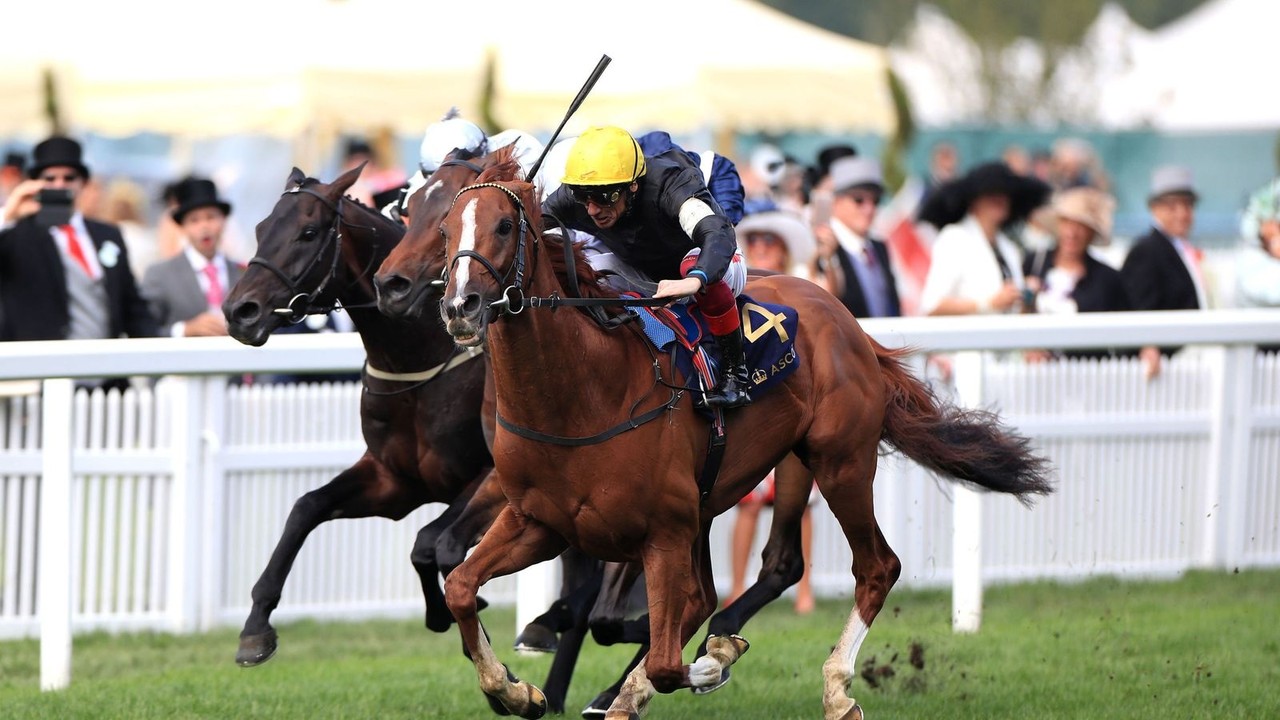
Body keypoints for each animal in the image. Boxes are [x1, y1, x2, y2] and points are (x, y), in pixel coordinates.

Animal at [218, 162, 488, 661]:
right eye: (261, 229)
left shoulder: (489, 474)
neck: (421, 357)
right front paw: (256, 626)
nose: (239, 311)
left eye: (308, 232)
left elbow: (429, 544)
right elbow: (305, 507)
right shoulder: (394, 480)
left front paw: (454, 609)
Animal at [430, 162, 1049, 717]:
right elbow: (460, 586)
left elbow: (666, 661)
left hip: (840, 461)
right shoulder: (539, 522)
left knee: (876, 567)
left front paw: (709, 663)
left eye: (503, 226)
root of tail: (842, 315)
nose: (459, 306)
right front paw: (516, 690)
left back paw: (832, 686)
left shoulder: (661, 532)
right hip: (745, 485)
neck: (581, 394)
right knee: (743, 579)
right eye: (443, 231)